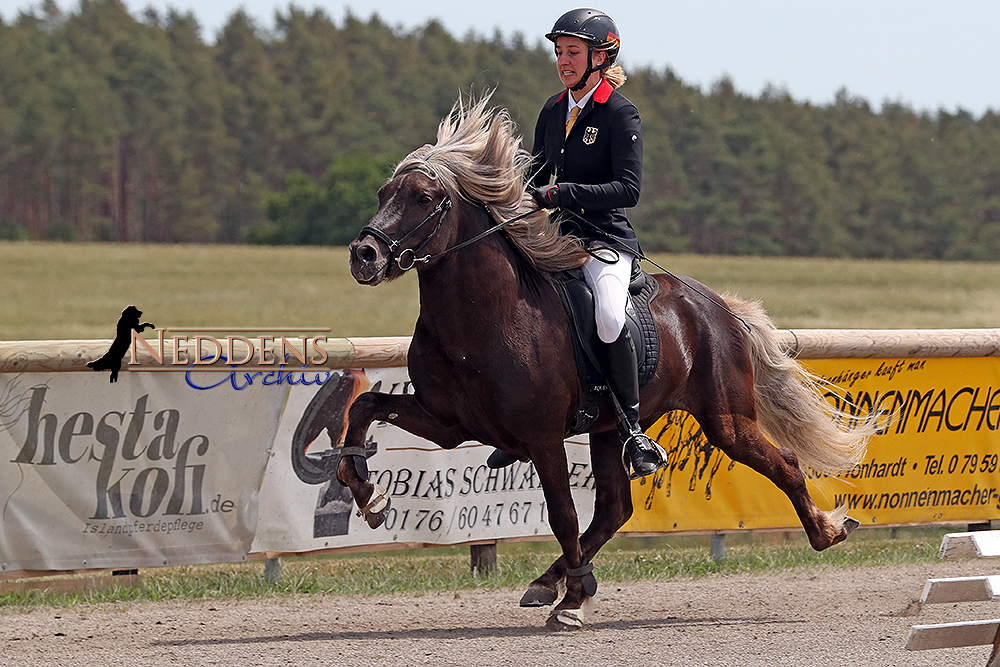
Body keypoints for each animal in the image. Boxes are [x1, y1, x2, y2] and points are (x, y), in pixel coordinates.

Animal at [332, 96, 872, 628]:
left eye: (423, 198)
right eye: (383, 193)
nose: (363, 255)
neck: (483, 318)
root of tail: (718, 306)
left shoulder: (542, 437)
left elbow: (563, 516)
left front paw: (574, 601)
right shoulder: (449, 423)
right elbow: (364, 408)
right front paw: (368, 495)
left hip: (727, 419)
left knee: (783, 463)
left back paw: (826, 531)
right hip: (613, 427)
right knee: (615, 508)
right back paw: (550, 581)